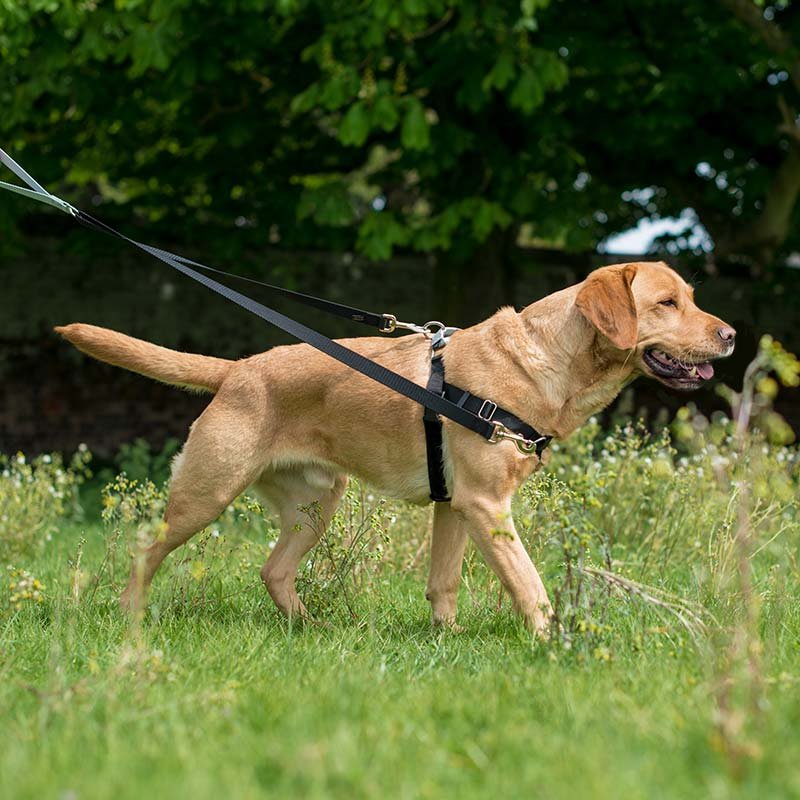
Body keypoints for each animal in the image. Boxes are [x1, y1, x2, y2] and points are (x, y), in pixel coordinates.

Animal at [56, 258, 736, 632]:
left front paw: (447, 641)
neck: (546, 361)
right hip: (206, 494)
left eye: (692, 298)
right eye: (666, 303)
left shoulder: (456, 507)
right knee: (145, 551)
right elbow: (532, 587)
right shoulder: (487, 506)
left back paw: (312, 629)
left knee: (273, 570)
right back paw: (131, 617)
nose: (731, 334)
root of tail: (240, 369)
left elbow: (444, 586)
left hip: (315, 506)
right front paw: (557, 645)